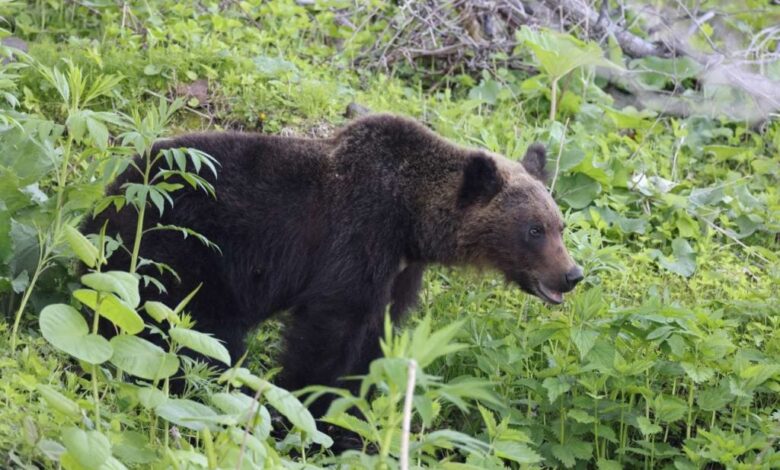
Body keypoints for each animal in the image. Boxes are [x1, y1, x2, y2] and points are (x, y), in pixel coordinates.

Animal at [84, 114, 580, 414]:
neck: (411, 222)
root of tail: (115, 191)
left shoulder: (399, 271)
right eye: (534, 229)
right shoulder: (356, 237)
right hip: (182, 246)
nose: (572, 275)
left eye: (559, 225)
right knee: (183, 326)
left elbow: (375, 336)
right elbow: (331, 329)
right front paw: (308, 405)